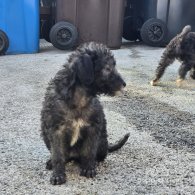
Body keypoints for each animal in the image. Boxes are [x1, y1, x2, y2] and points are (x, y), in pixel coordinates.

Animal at [40, 42, 129, 185]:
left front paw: (88, 168)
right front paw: (58, 174)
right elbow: (58, 154)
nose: (124, 84)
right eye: (107, 68)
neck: (79, 97)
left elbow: (88, 150)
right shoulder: (56, 130)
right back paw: (51, 162)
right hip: (45, 135)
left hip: (102, 143)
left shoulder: (93, 127)